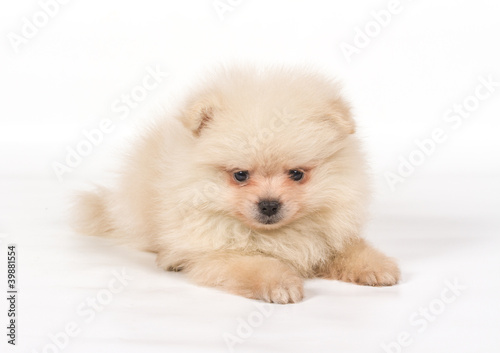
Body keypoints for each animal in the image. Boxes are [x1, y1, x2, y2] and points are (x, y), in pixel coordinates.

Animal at [74, 66, 400, 302]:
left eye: (296, 174)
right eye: (240, 175)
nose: (269, 204)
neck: (273, 235)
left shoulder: (326, 236)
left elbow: (349, 248)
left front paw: (375, 267)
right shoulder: (219, 253)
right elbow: (254, 265)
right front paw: (279, 283)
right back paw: (169, 258)